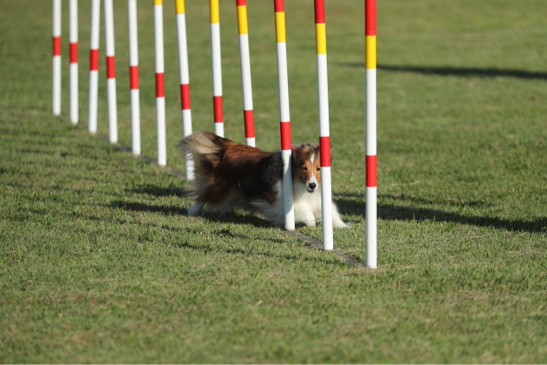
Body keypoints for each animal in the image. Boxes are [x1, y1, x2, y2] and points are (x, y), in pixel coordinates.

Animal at [179, 131, 346, 228]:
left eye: (318, 169)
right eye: (304, 168)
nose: (312, 185)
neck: (299, 182)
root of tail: (229, 147)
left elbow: (331, 210)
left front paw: (342, 225)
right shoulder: (280, 200)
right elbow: (303, 209)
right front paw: (311, 222)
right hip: (222, 188)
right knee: (203, 195)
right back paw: (193, 211)